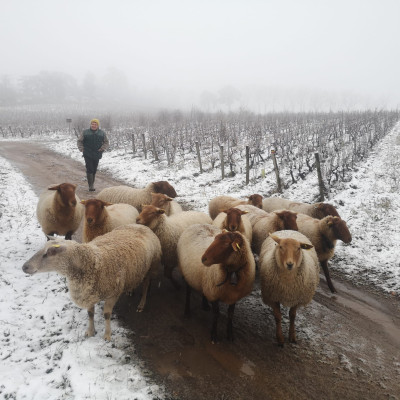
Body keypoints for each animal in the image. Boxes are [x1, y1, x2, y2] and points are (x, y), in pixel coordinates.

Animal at [21, 225, 162, 340]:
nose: (24, 267)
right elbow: (90, 314)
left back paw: (141, 304)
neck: (92, 261)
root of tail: (141, 225)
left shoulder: (113, 294)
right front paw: (90, 331)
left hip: (151, 267)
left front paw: (107, 335)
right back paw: (130, 290)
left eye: (49, 253)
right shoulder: (88, 293)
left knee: (146, 286)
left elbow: (106, 315)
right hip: (134, 272)